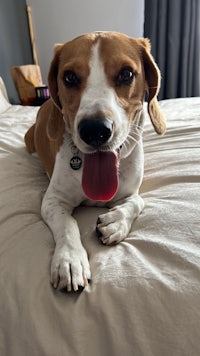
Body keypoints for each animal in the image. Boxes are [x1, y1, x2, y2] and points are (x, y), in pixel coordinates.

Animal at [25, 30, 166, 292]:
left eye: (126, 74)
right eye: (69, 77)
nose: (95, 130)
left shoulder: (132, 192)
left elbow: (137, 202)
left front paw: (116, 222)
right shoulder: (52, 201)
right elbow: (67, 223)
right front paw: (70, 260)